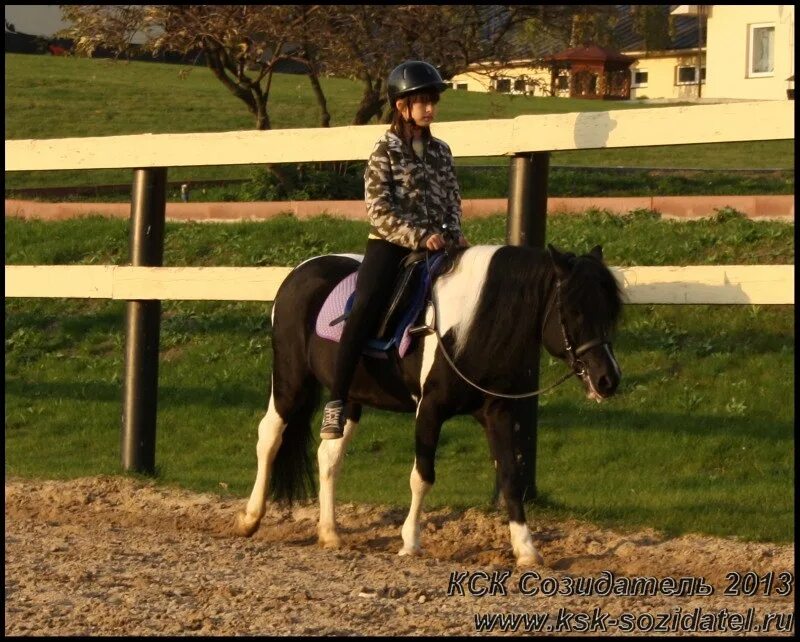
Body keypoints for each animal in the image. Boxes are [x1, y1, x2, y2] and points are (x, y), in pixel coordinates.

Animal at [236, 242, 624, 564]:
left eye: (609, 311)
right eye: (574, 311)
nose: (608, 379)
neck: (473, 325)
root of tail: (299, 273)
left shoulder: (497, 413)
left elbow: (512, 477)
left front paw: (526, 549)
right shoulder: (430, 410)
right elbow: (422, 476)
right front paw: (410, 543)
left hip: (348, 397)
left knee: (328, 455)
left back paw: (330, 533)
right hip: (290, 381)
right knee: (269, 437)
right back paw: (250, 518)